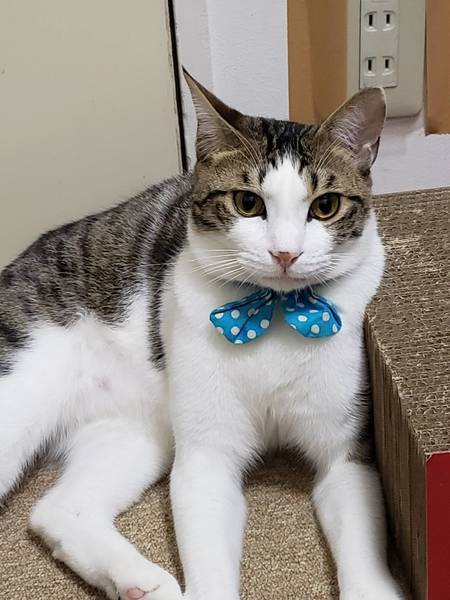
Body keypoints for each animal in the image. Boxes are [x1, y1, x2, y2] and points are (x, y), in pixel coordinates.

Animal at [0, 70, 404, 600]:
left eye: (326, 206)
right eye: (248, 203)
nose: (285, 253)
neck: (274, 313)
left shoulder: (348, 454)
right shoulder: (206, 454)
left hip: (132, 431)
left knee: (57, 510)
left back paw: (138, 581)